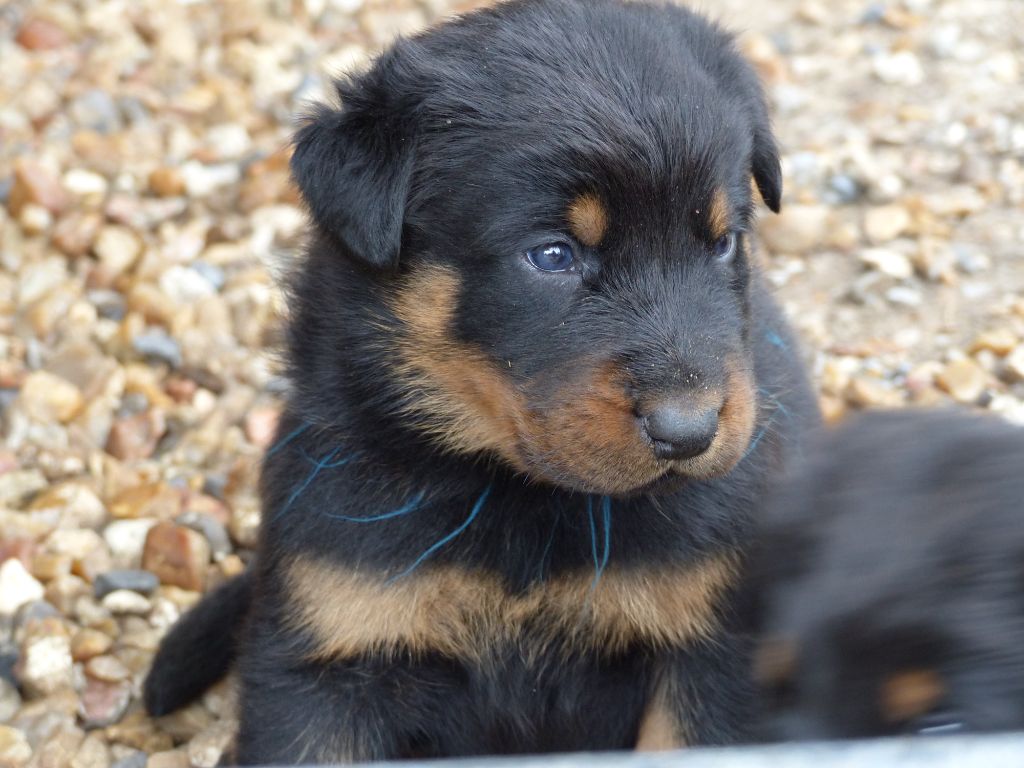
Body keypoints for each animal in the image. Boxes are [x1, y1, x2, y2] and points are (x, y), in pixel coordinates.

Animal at [144, 0, 818, 761]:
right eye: (552, 255)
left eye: (724, 241)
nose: (690, 433)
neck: (518, 499)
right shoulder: (327, 651)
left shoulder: (714, 652)